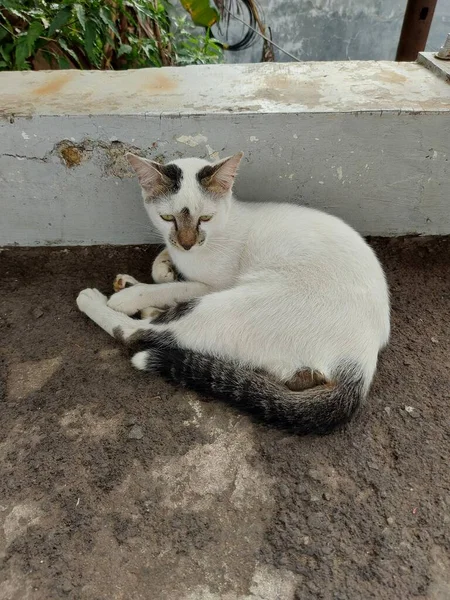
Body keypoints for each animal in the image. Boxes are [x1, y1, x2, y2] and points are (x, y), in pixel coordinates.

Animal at [77, 149, 390, 432]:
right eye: (167, 218)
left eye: (205, 218)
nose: (187, 243)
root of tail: (361, 361)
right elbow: (163, 268)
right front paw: (161, 269)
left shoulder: (214, 284)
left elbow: (177, 287)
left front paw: (132, 295)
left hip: (229, 304)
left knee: (135, 332)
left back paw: (98, 301)